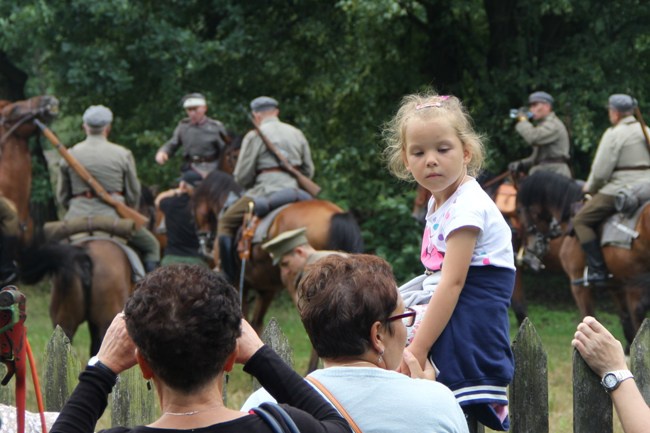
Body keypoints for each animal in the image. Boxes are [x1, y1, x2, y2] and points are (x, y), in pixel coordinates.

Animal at [512, 170, 644, 342]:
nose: (533, 247)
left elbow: (589, 316)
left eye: (519, 211)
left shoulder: (579, 284)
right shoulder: (616, 285)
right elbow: (626, 323)